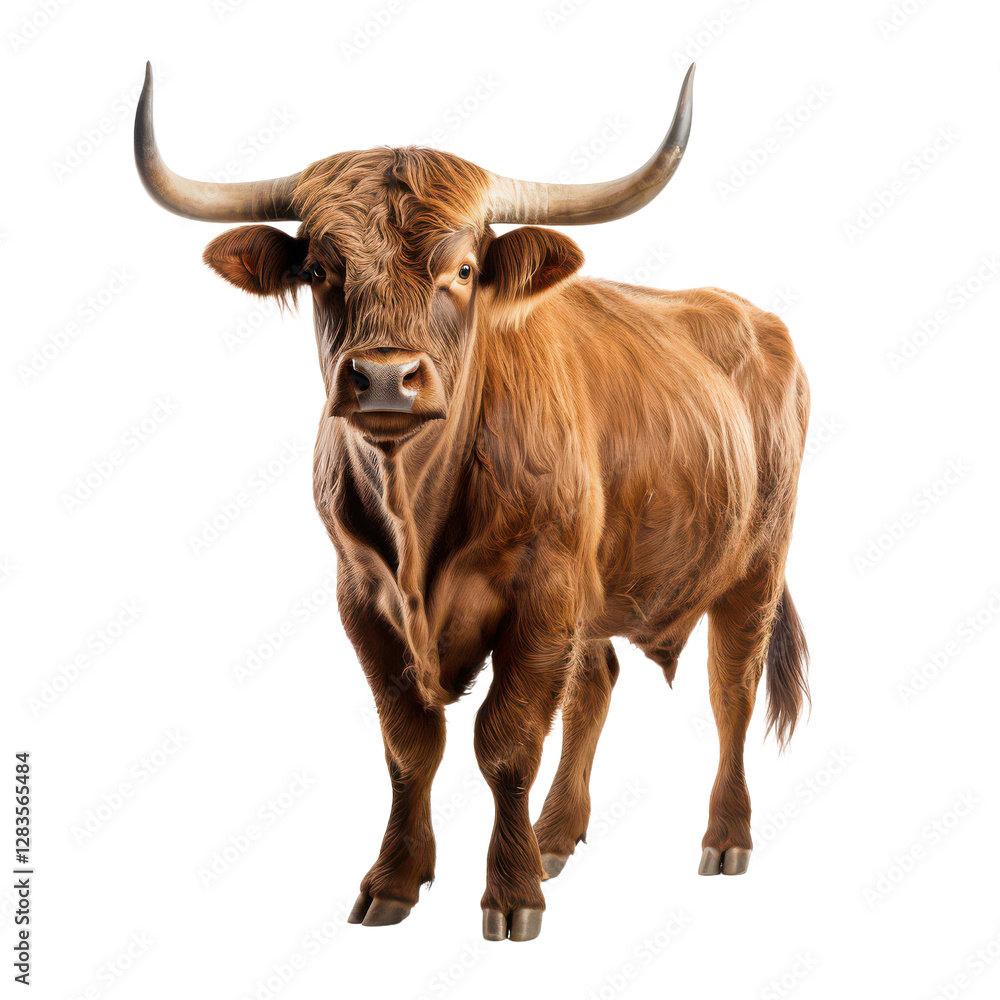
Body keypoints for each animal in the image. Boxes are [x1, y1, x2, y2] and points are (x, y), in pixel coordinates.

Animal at [134, 61, 809, 942]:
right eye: (319, 270)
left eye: (462, 271)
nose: (387, 377)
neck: (417, 515)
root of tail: (752, 316)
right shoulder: (364, 598)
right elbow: (410, 743)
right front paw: (395, 879)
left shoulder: (541, 594)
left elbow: (506, 742)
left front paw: (512, 894)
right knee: (596, 685)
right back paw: (556, 836)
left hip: (755, 563)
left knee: (732, 687)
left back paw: (725, 839)